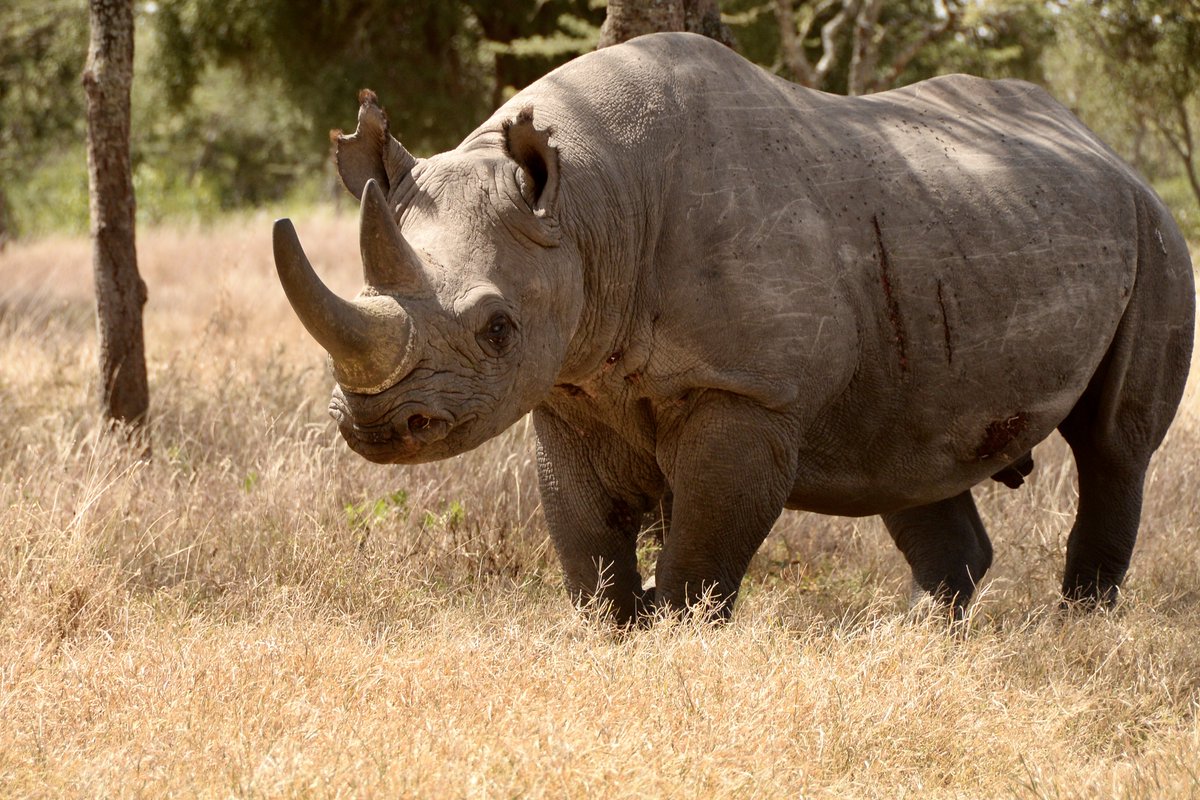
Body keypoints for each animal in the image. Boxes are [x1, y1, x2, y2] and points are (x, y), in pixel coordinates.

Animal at [274, 33, 1194, 624]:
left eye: (497, 328)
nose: (378, 426)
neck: (589, 209)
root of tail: (1101, 144)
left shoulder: (749, 392)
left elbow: (703, 550)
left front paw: (677, 639)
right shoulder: (570, 383)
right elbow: (584, 539)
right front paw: (610, 636)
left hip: (1155, 233)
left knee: (1114, 446)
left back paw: (1081, 630)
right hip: (949, 235)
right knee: (913, 453)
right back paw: (913, 641)